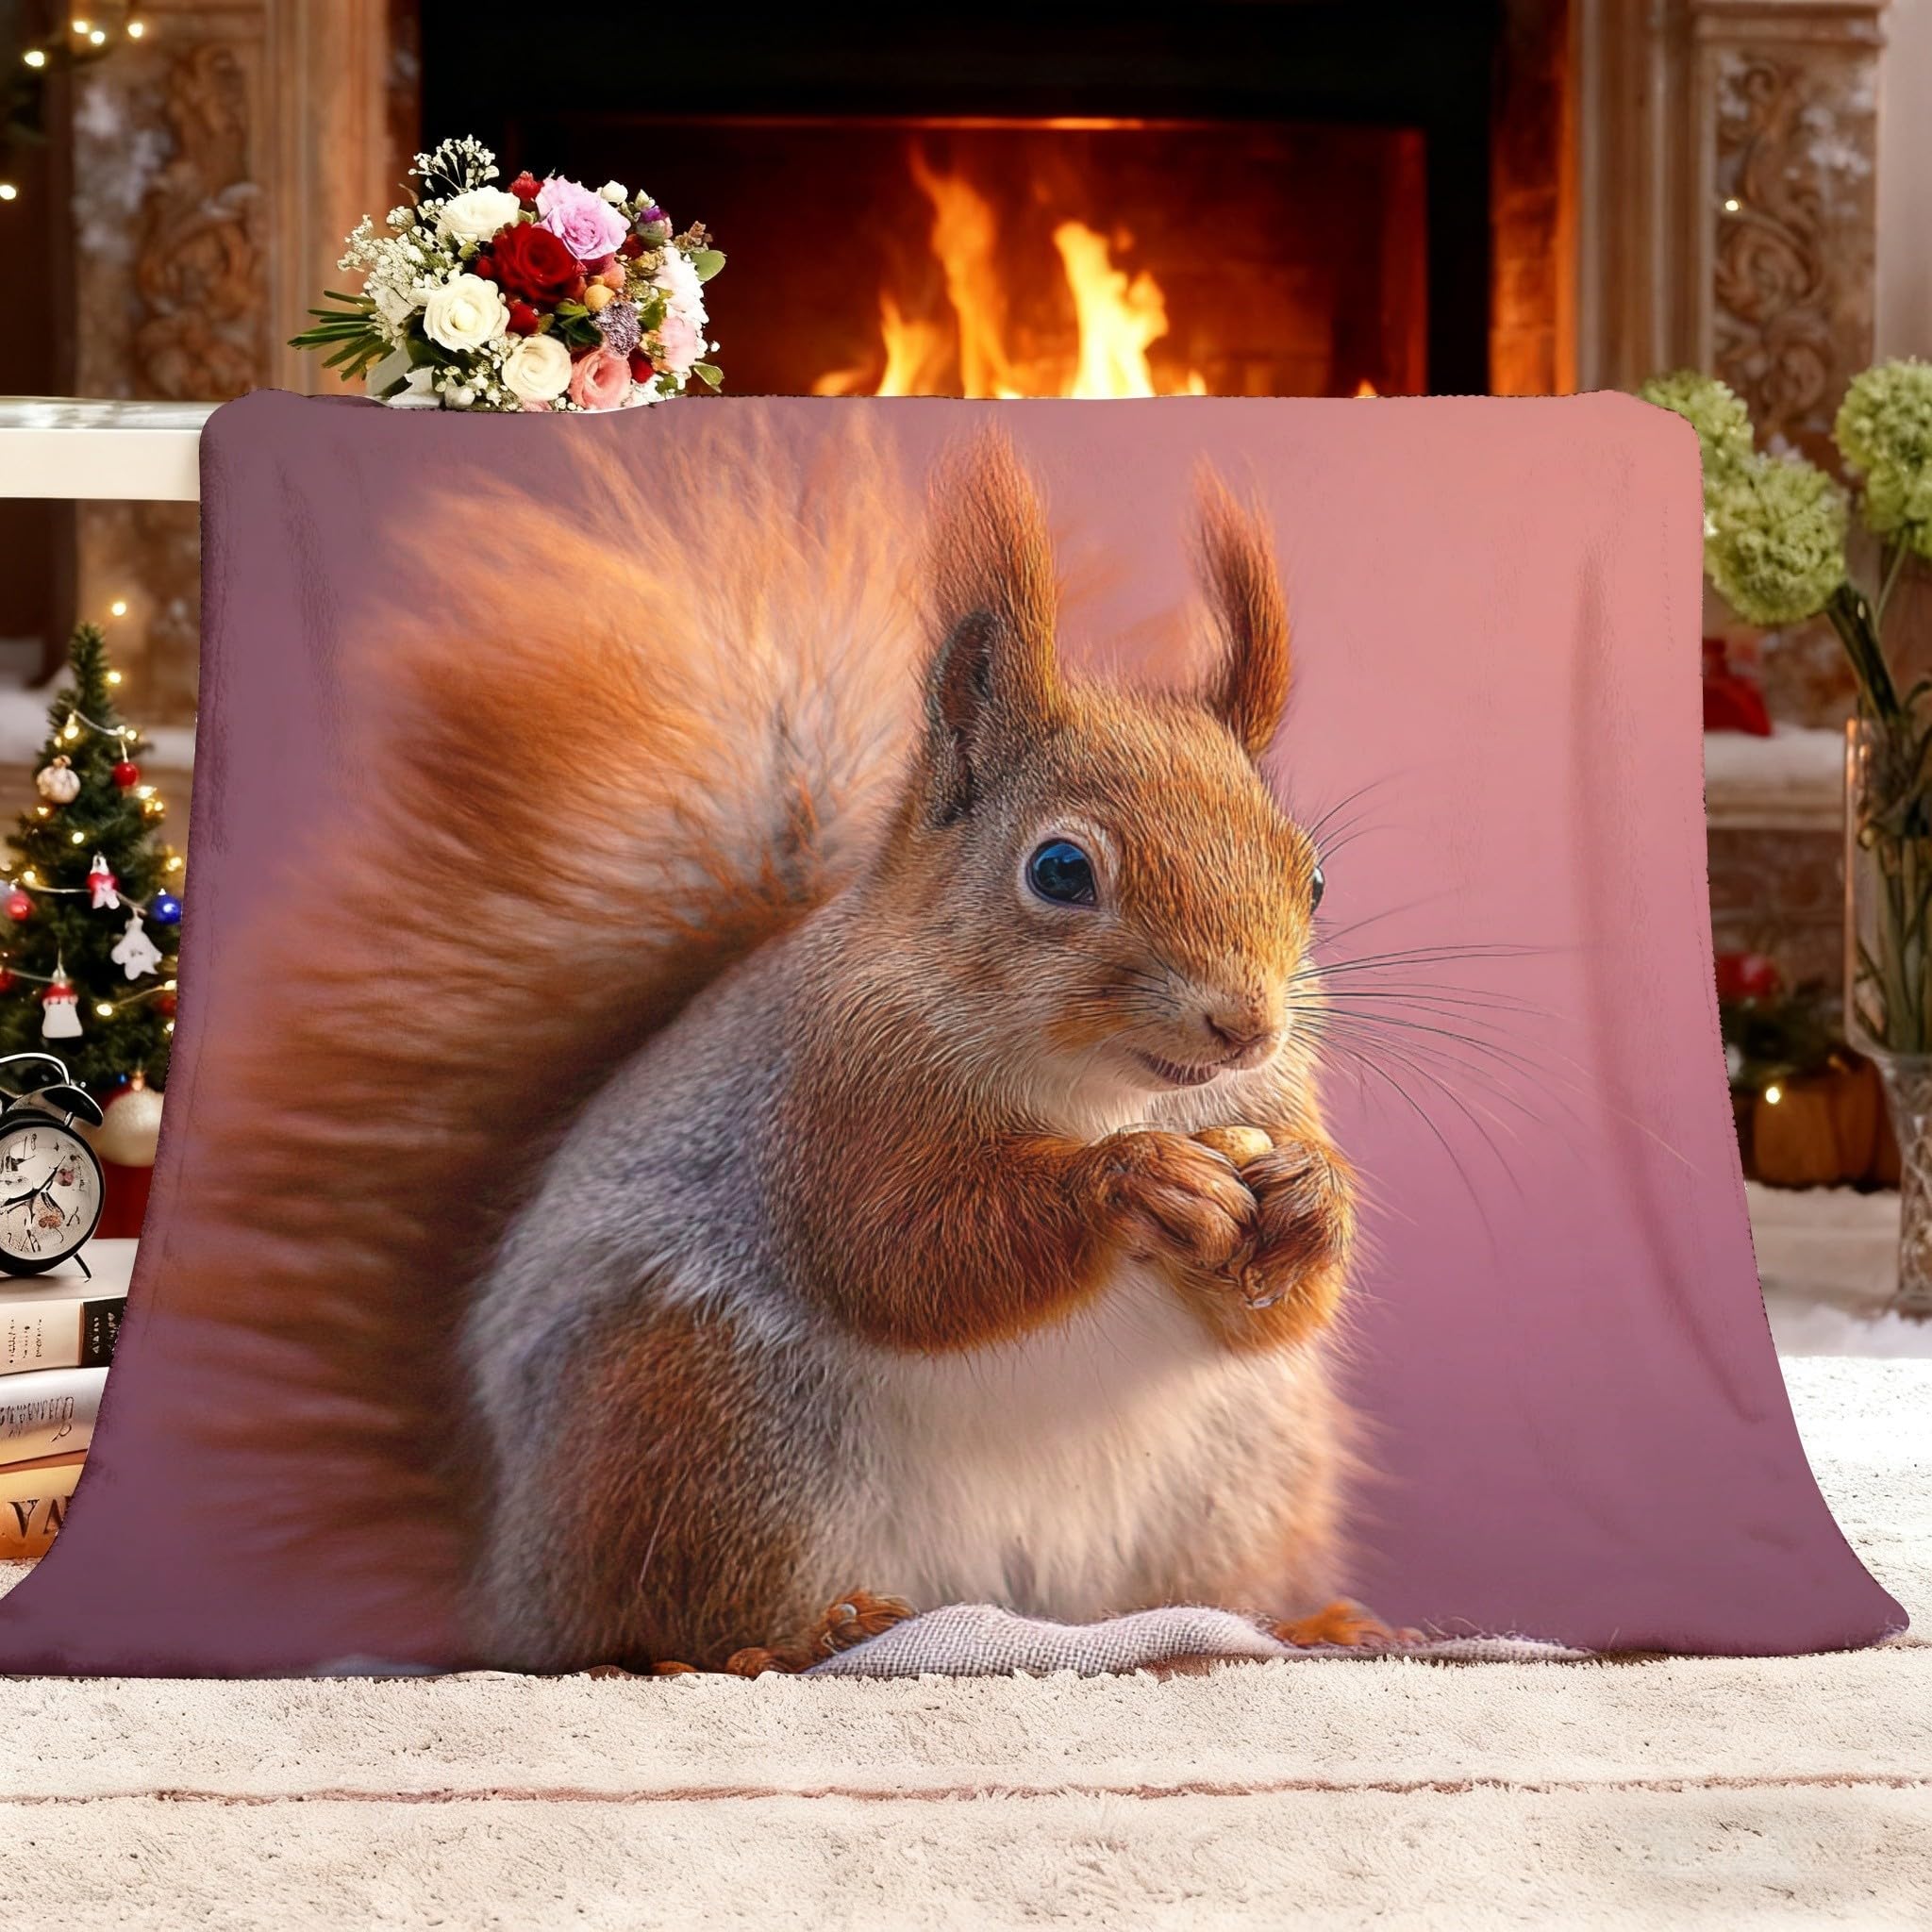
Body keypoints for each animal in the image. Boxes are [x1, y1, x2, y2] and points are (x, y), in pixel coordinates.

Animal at [183, 411, 1384, 1672]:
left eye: (1311, 876)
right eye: (1059, 870)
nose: (1244, 1022)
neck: (1099, 1086)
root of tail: (507, 1569)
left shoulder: (1266, 1100)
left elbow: (1276, 1303)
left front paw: (1311, 1196)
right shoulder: (832, 1094)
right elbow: (902, 1251)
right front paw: (1130, 1179)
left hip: (1242, 1463)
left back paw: (1301, 1619)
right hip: (702, 1424)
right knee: (650, 1625)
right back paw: (799, 1632)